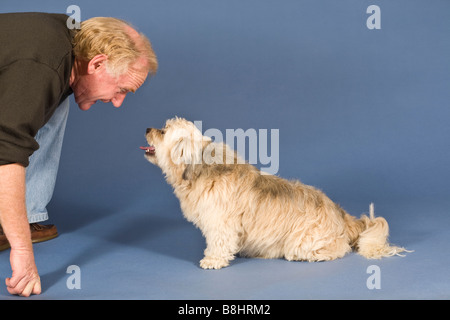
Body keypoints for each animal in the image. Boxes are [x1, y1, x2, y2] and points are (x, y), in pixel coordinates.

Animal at [141, 116, 408, 268]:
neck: (200, 168)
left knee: (337, 250)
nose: (147, 128)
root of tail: (342, 215)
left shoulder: (220, 224)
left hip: (304, 241)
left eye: (164, 131)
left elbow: (218, 243)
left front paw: (212, 260)